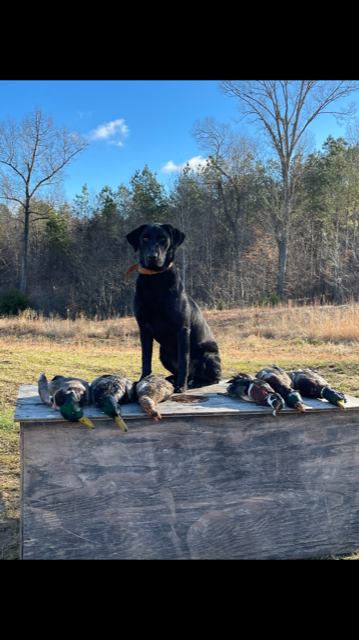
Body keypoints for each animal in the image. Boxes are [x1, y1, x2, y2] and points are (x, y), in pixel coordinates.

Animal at [126, 225, 222, 396]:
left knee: (211, 378)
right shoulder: (144, 329)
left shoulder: (181, 329)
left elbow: (184, 360)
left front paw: (181, 386)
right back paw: (172, 378)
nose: (152, 256)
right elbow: (145, 359)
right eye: (145, 238)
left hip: (207, 356)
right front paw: (142, 380)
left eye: (163, 239)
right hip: (163, 353)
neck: (154, 280)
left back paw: (195, 382)